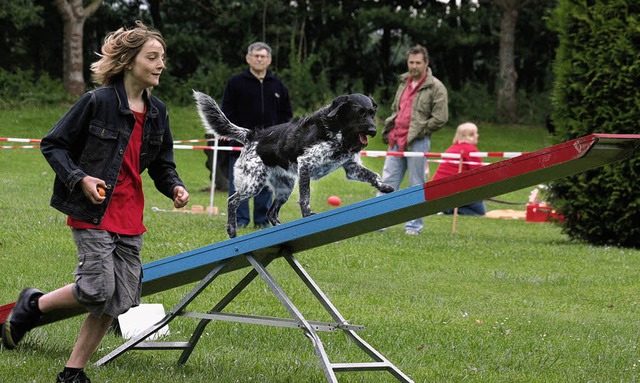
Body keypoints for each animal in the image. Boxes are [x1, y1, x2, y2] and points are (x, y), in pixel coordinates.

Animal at [194, 91, 396, 238]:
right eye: (360, 112)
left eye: (372, 113)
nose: (373, 130)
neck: (337, 132)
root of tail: (251, 135)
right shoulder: (306, 164)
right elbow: (305, 197)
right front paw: (307, 215)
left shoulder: (352, 168)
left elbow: (374, 175)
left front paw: (384, 186)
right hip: (254, 183)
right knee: (232, 201)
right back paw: (232, 229)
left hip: (285, 188)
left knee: (271, 213)